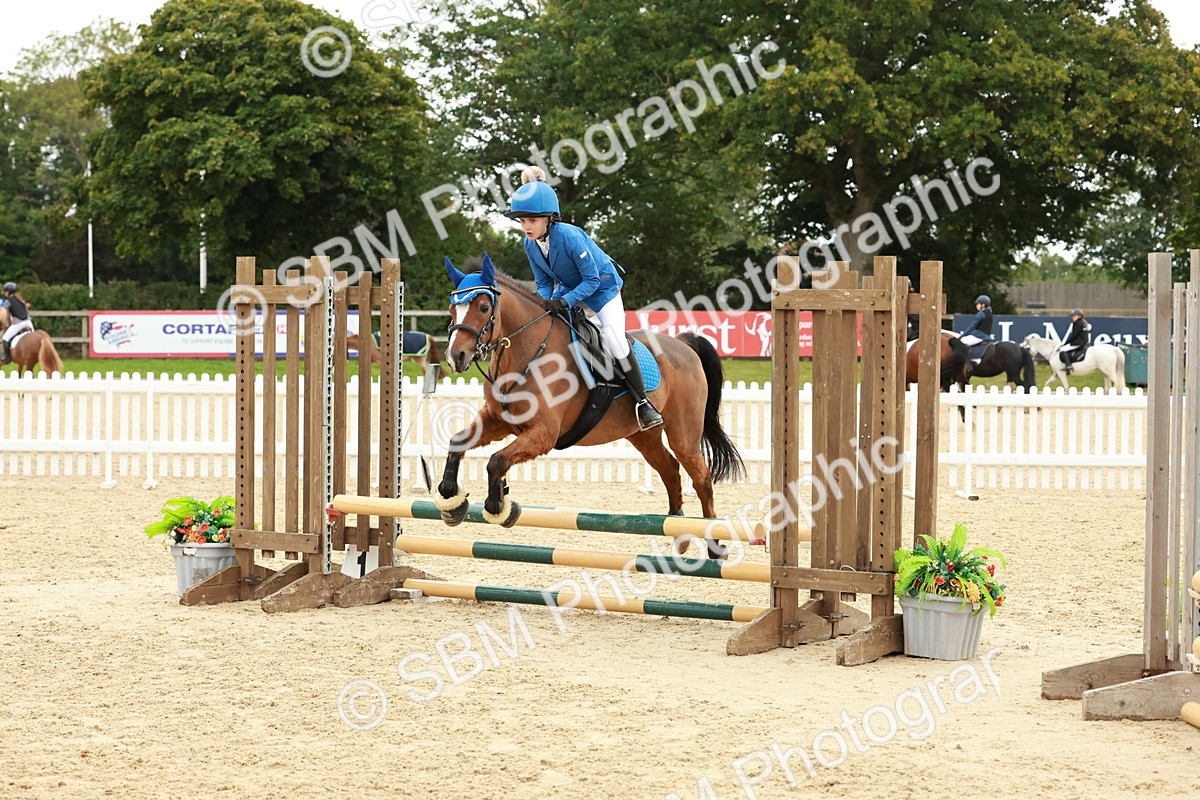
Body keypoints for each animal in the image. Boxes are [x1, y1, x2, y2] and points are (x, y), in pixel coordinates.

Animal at [435, 254, 744, 559]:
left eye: (484, 307)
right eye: (452, 308)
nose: (456, 357)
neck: (526, 354)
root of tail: (682, 344)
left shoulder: (544, 434)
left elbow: (496, 461)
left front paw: (497, 506)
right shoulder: (499, 421)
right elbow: (459, 442)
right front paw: (452, 500)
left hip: (683, 434)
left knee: (701, 477)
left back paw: (714, 546)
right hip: (643, 436)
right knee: (669, 469)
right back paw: (678, 534)